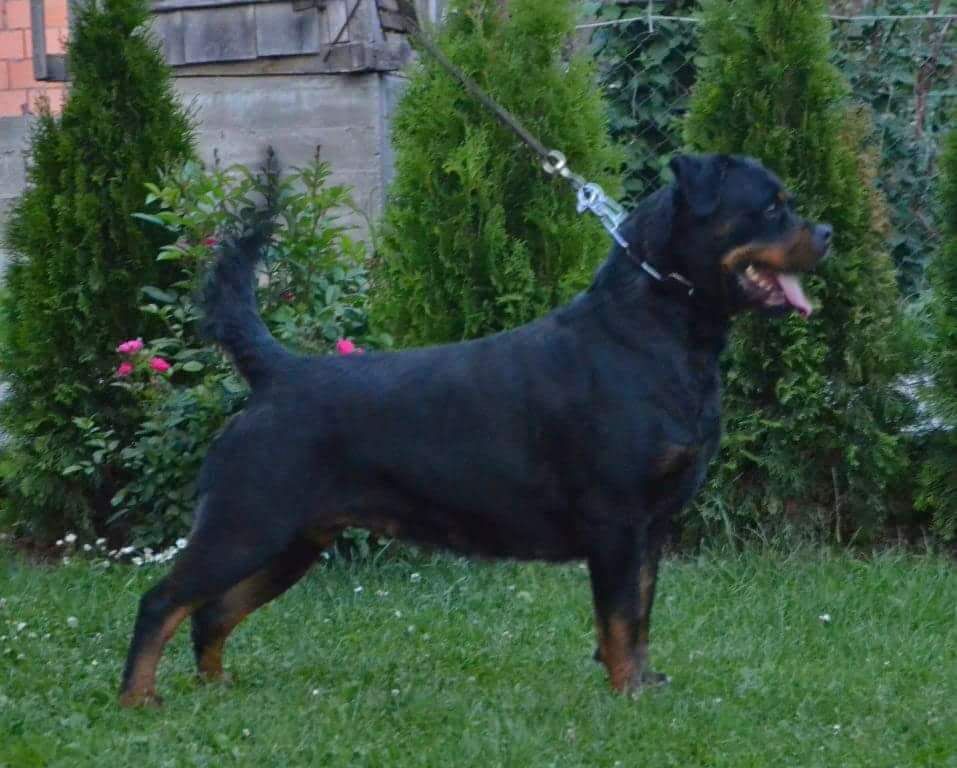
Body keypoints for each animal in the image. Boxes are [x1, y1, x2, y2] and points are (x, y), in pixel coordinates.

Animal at [119, 153, 832, 706]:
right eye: (772, 207)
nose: (825, 231)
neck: (657, 330)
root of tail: (279, 373)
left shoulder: (651, 526)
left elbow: (642, 611)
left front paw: (645, 682)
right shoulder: (617, 520)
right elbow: (621, 617)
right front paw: (628, 690)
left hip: (293, 541)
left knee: (211, 611)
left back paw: (215, 686)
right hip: (247, 522)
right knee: (162, 600)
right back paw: (138, 699)